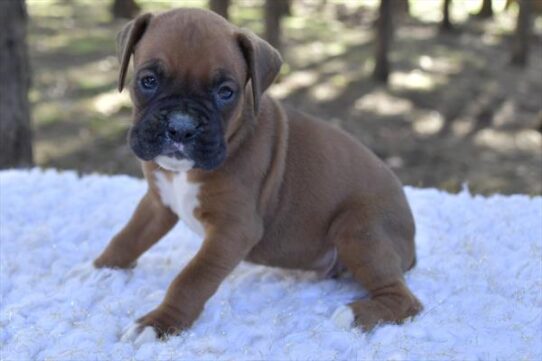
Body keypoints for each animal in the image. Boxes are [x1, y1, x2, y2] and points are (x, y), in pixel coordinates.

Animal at [94, 7, 424, 340]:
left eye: (225, 92)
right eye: (148, 80)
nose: (181, 127)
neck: (184, 173)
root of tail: (410, 244)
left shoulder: (233, 229)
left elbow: (192, 277)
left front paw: (159, 323)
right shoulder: (157, 202)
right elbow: (128, 237)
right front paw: (101, 269)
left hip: (359, 230)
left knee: (407, 301)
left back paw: (353, 314)